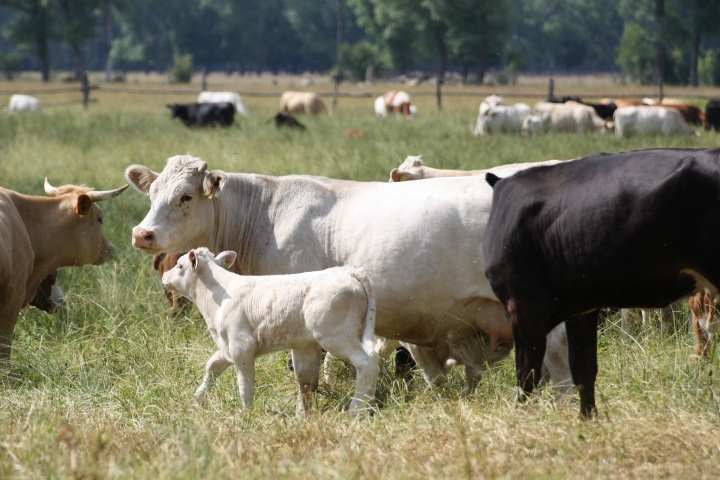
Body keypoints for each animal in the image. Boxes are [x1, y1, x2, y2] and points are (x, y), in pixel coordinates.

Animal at [162, 248, 376, 412]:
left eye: (179, 265)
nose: (164, 276)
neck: (220, 296)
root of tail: (349, 272)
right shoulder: (228, 346)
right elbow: (212, 365)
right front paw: (196, 401)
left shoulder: (242, 347)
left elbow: (245, 386)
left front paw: (246, 415)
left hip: (336, 335)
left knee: (366, 363)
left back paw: (356, 410)